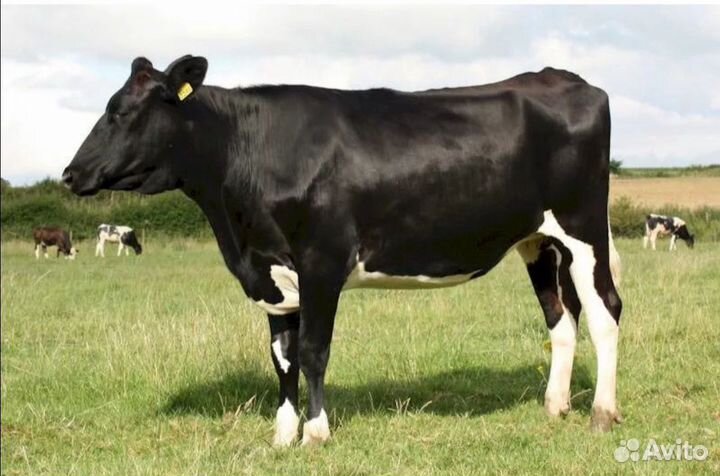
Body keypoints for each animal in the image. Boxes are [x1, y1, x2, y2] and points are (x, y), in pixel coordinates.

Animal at [63, 55, 623, 446]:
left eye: (122, 112)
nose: (70, 173)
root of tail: (567, 79)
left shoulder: (321, 263)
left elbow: (313, 351)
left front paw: (316, 432)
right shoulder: (271, 274)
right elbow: (282, 359)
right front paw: (282, 434)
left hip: (584, 226)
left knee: (605, 312)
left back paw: (601, 413)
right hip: (538, 241)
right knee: (561, 318)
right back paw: (555, 406)